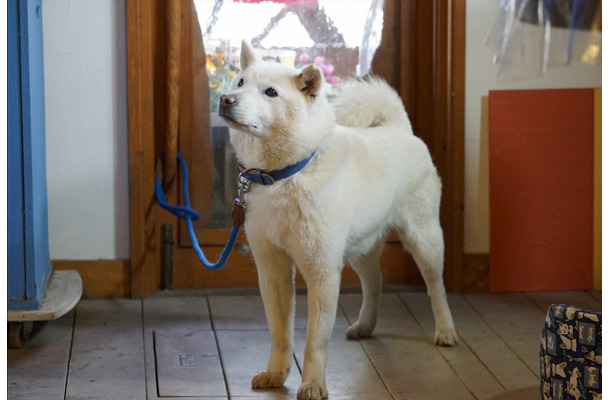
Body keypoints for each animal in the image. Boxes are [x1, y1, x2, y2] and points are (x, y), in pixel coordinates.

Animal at [218, 41, 456, 400]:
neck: (286, 175)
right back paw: (365, 325)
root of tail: (399, 129)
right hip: (360, 247)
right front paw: (276, 374)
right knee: (375, 282)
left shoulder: (322, 271)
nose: (225, 99)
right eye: (241, 82)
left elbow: (314, 342)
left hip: (424, 238)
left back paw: (445, 330)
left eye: (271, 92)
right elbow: (280, 333)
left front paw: (313, 384)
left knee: (435, 286)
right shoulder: (273, 269)